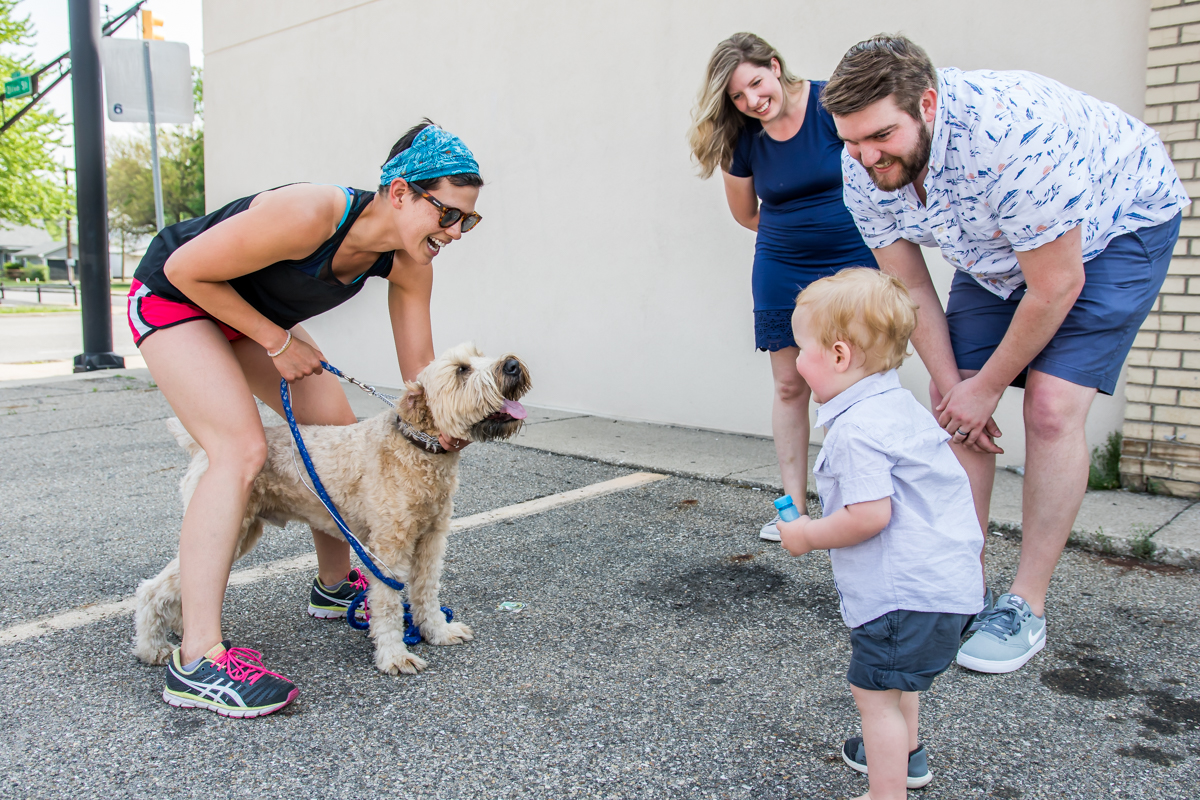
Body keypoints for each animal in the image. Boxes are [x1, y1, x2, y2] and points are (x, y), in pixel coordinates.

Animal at [133, 345, 532, 676]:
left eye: (479, 355)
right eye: (462, 370)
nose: (513, 364)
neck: (417, 448)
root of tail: (200, 448)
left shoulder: (431, 540)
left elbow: (426, 590)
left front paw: (436, 631)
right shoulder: (388, 551)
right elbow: (388, 606)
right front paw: (394, 655)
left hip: (242, 534)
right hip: (230, 529)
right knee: (153, 588)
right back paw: (153, 647)